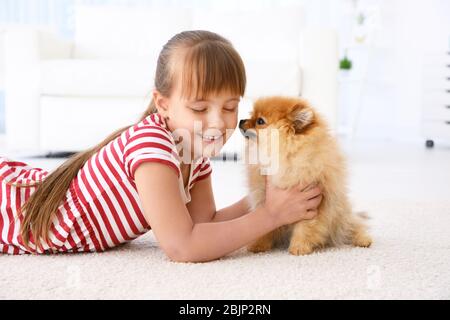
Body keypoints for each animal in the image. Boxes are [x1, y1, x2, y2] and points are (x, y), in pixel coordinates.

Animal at [239, 96, 372, 256]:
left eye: (260, 121)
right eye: (250, 115)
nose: (241, 120)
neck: (283, 155)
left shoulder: (315, 201)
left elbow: (305, 227)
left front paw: (299, 247)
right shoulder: (263, 197)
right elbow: (264, 224)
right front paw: (259, 245)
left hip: (340, 216)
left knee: (353, 227)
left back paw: (363, 239)